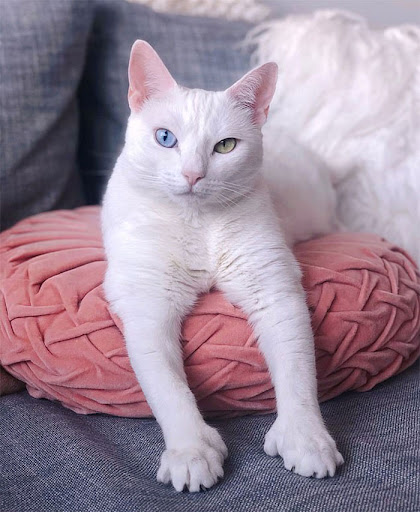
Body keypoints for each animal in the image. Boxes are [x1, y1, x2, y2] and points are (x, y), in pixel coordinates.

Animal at [102, 40, 344, 492]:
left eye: (226, 146)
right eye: (165, 138)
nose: (193, 175)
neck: (198, 224)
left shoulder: (276, 293)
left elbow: (298, 374)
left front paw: (306, 439)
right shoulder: (148, 308)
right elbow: (168, 388)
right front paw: (191, 452)